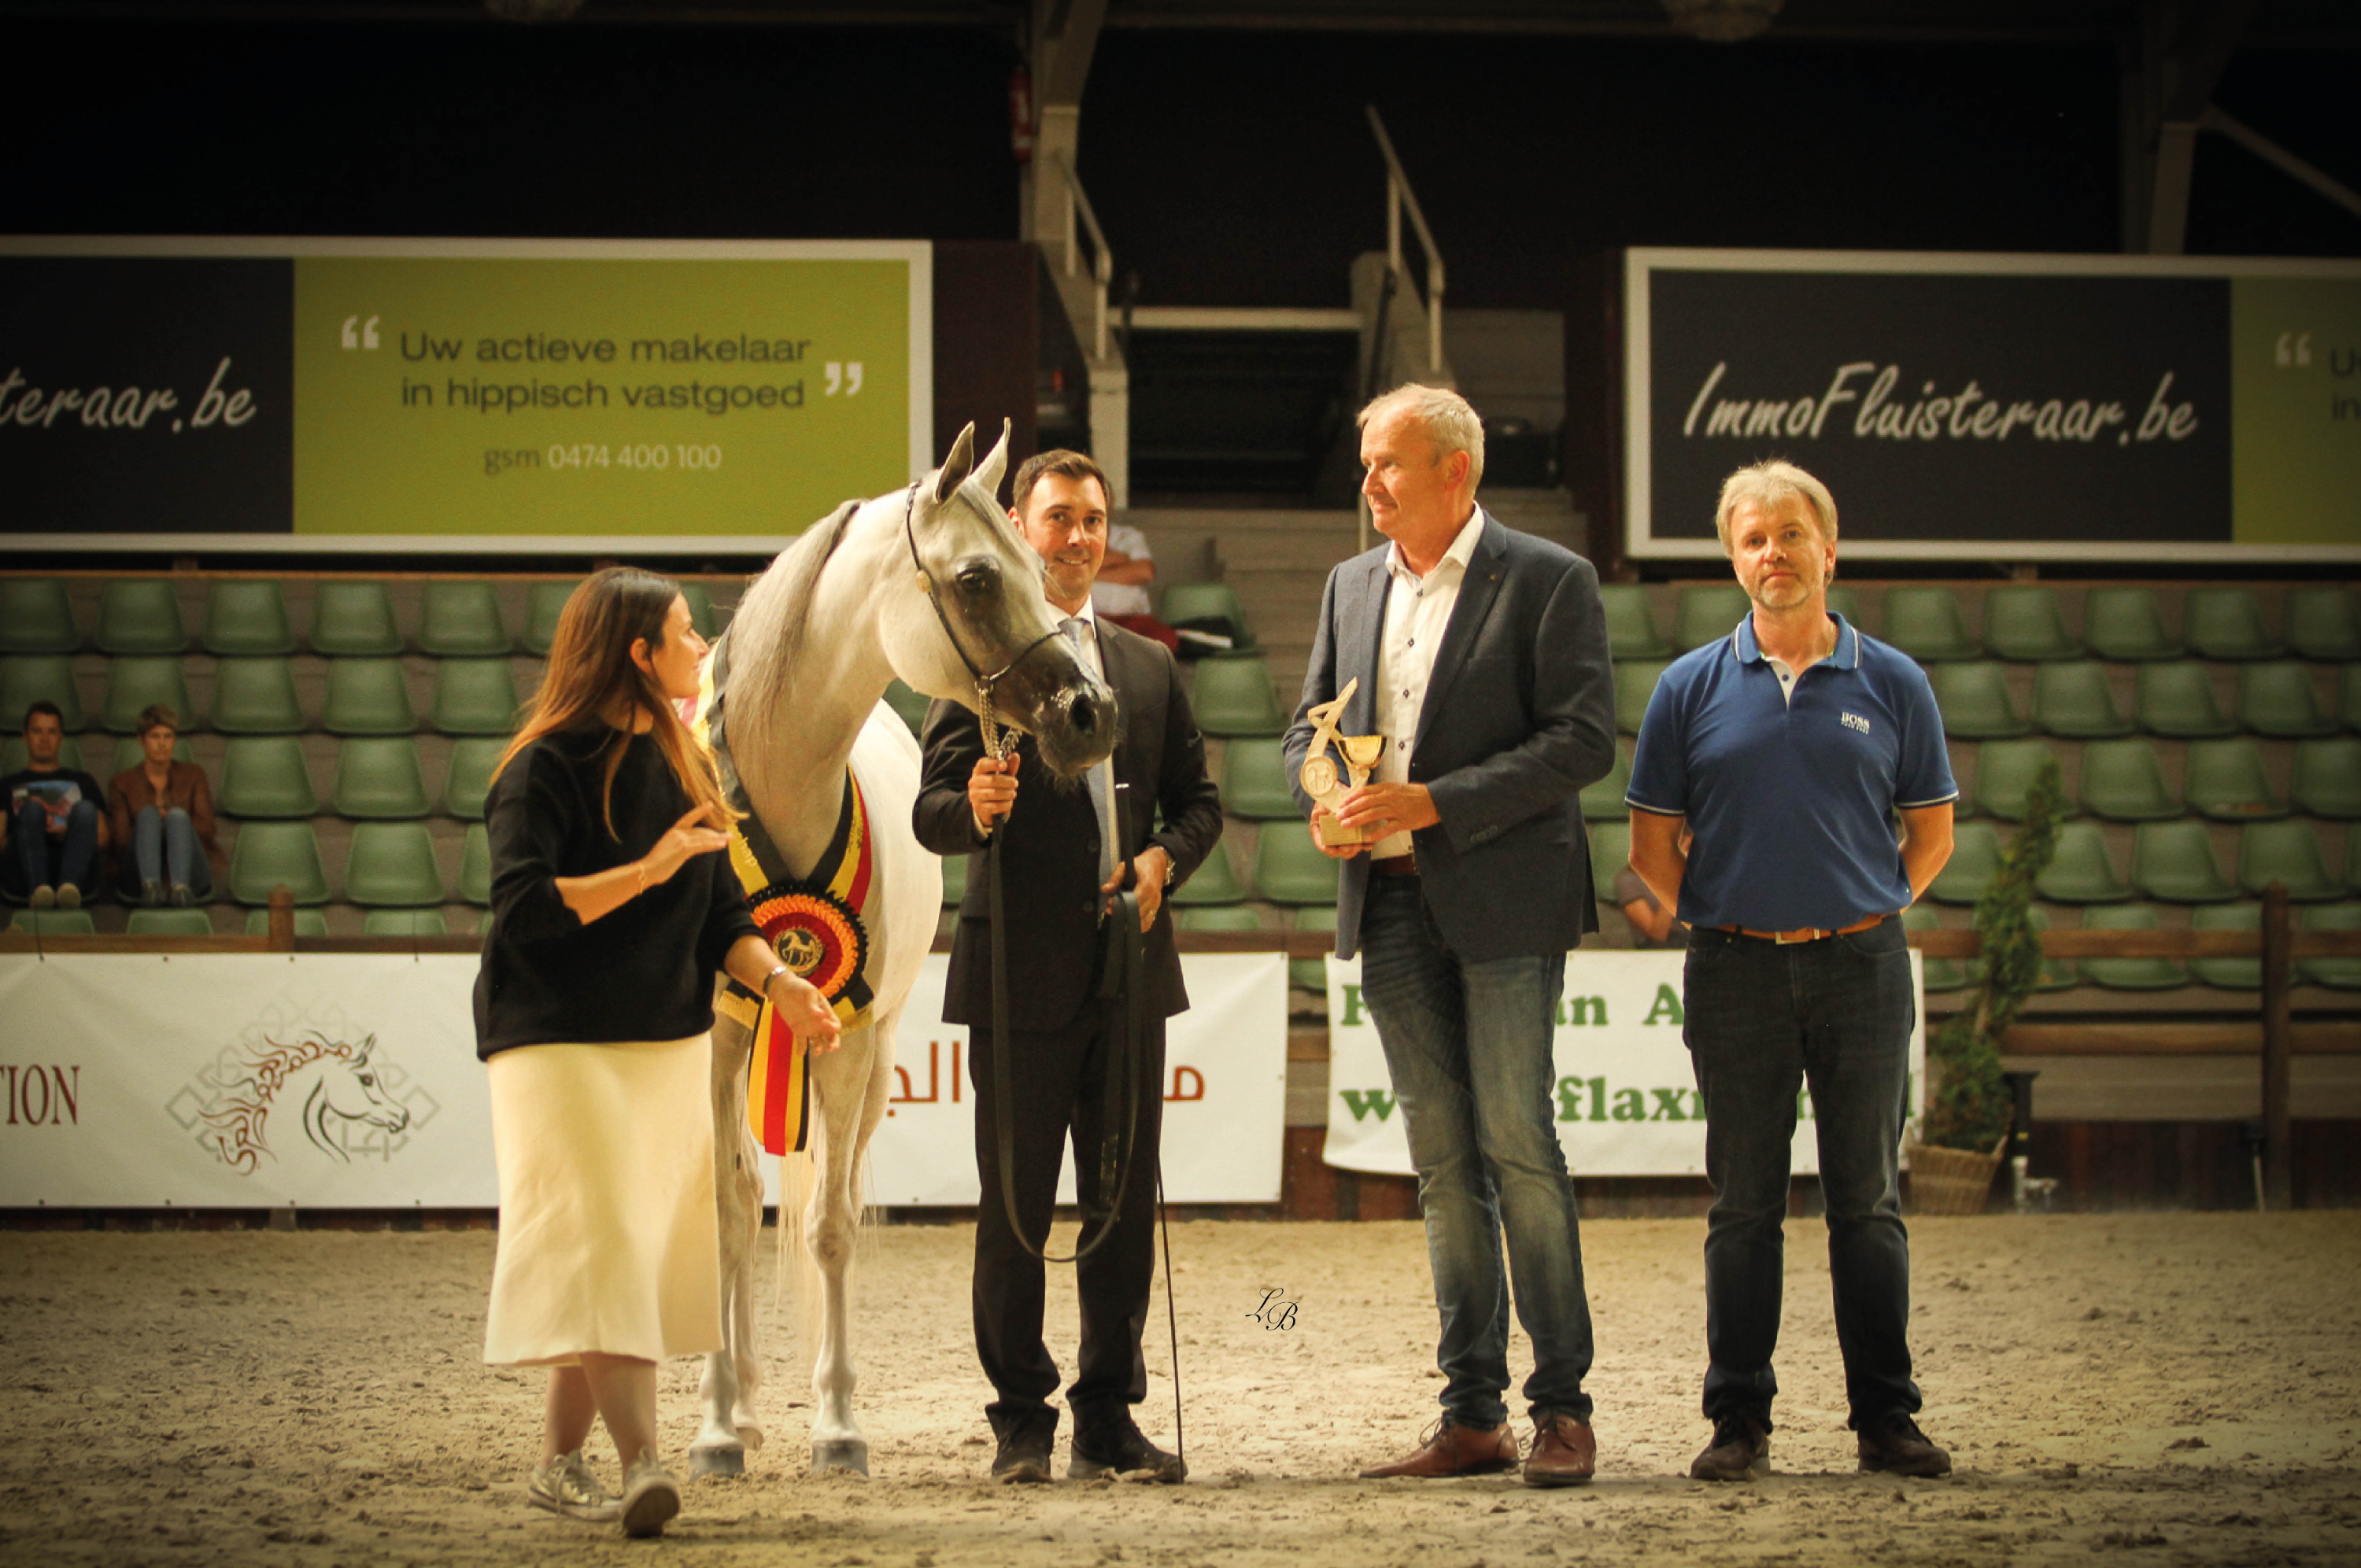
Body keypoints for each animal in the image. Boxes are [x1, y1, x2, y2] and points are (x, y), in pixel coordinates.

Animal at [687, 420, 1118, 1480]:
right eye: (977, 577)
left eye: (1039, 571)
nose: (1091, 714)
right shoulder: (712, 1042)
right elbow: (724, 1215)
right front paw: (713, 1428)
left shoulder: (843, 1050)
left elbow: (830, 1225)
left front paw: (837, 1425)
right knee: (735, 1195)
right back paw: (736, 1407)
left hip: (873, 1059)